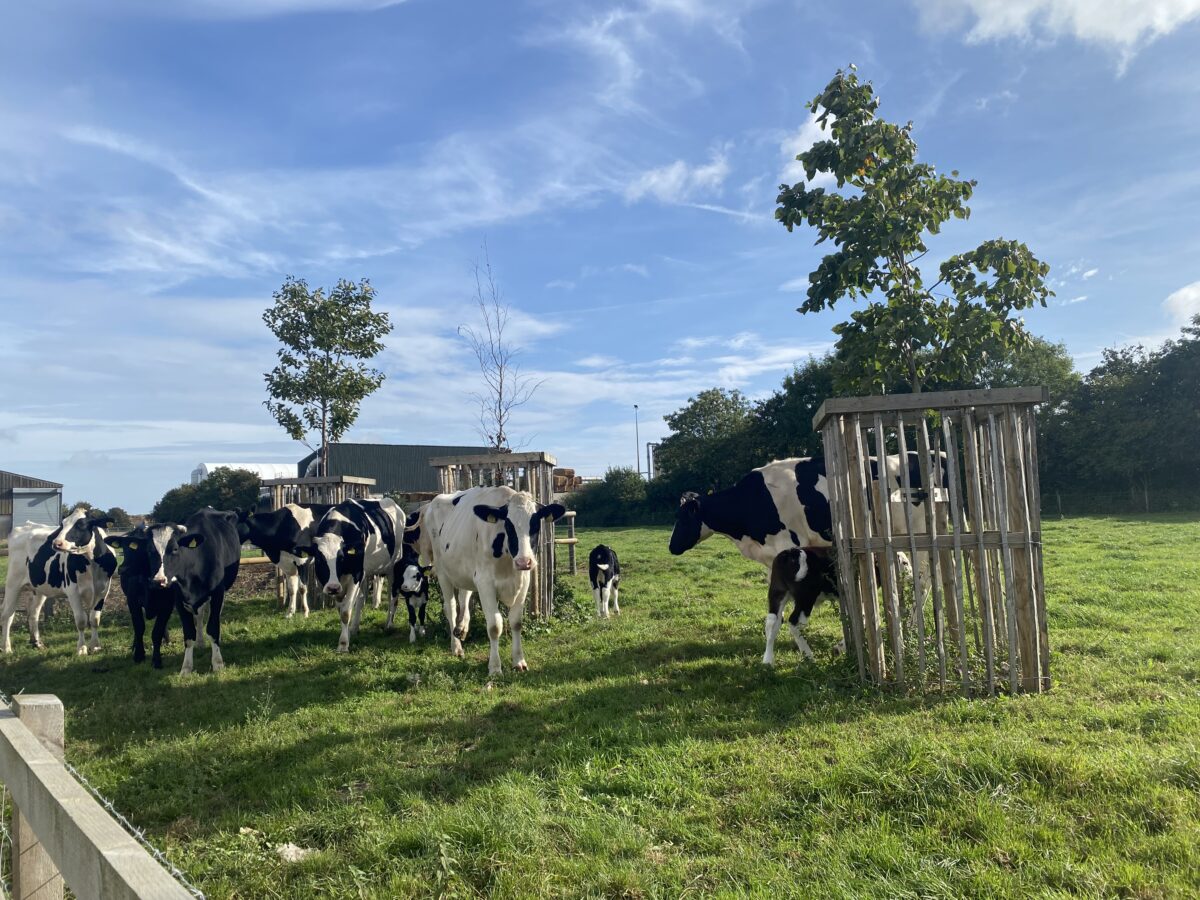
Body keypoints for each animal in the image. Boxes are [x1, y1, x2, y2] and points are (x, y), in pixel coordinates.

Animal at [105, 511, 241, 672]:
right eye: (149, 550)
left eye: (175, 549)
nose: (159, 580)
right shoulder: (176, 599)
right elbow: (186, 633)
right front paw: (186, 668)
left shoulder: (216, 594)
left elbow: (213, 628)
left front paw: (218, 664)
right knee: (199, 615)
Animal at [302, 496, 405, 652]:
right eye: (319, 559)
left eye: (341, 557)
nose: (332, 587)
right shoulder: (342, 582)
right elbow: (342, 609)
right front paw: (347, 635)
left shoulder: (356, 574)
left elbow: (345, 611)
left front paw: (343, 644)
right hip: (365, 572)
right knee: (361, 598)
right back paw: (355, 628)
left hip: (393, 565)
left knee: (393, 596)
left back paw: (389, 624)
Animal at [420, 487, 564, 676]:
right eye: (508, 525)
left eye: (535, 524)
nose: (524, 562)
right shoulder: (485, 583)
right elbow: (495, 626)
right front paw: (495, 667)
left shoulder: (523, 581)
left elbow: (516, 623)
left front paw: (519, 661)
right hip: (443, 571)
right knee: (450, 608)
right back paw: (456, 647)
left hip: (467, 571)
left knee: (464, 596)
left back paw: (462, 628)